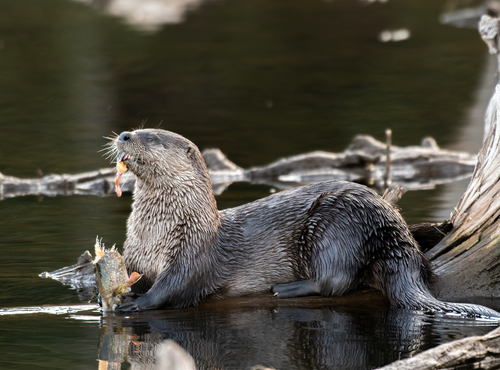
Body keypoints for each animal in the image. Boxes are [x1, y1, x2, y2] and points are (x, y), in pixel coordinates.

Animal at [113, 128, 500, 318]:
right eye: (135, 129)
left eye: (152, 137)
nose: (124, 136)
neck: (159, 231)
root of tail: (392, 226)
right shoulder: (135, 255)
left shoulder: (192, 251)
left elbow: (174, 287)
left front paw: (136, 304)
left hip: (336, 225)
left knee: (336, 279)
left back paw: (286, 288)